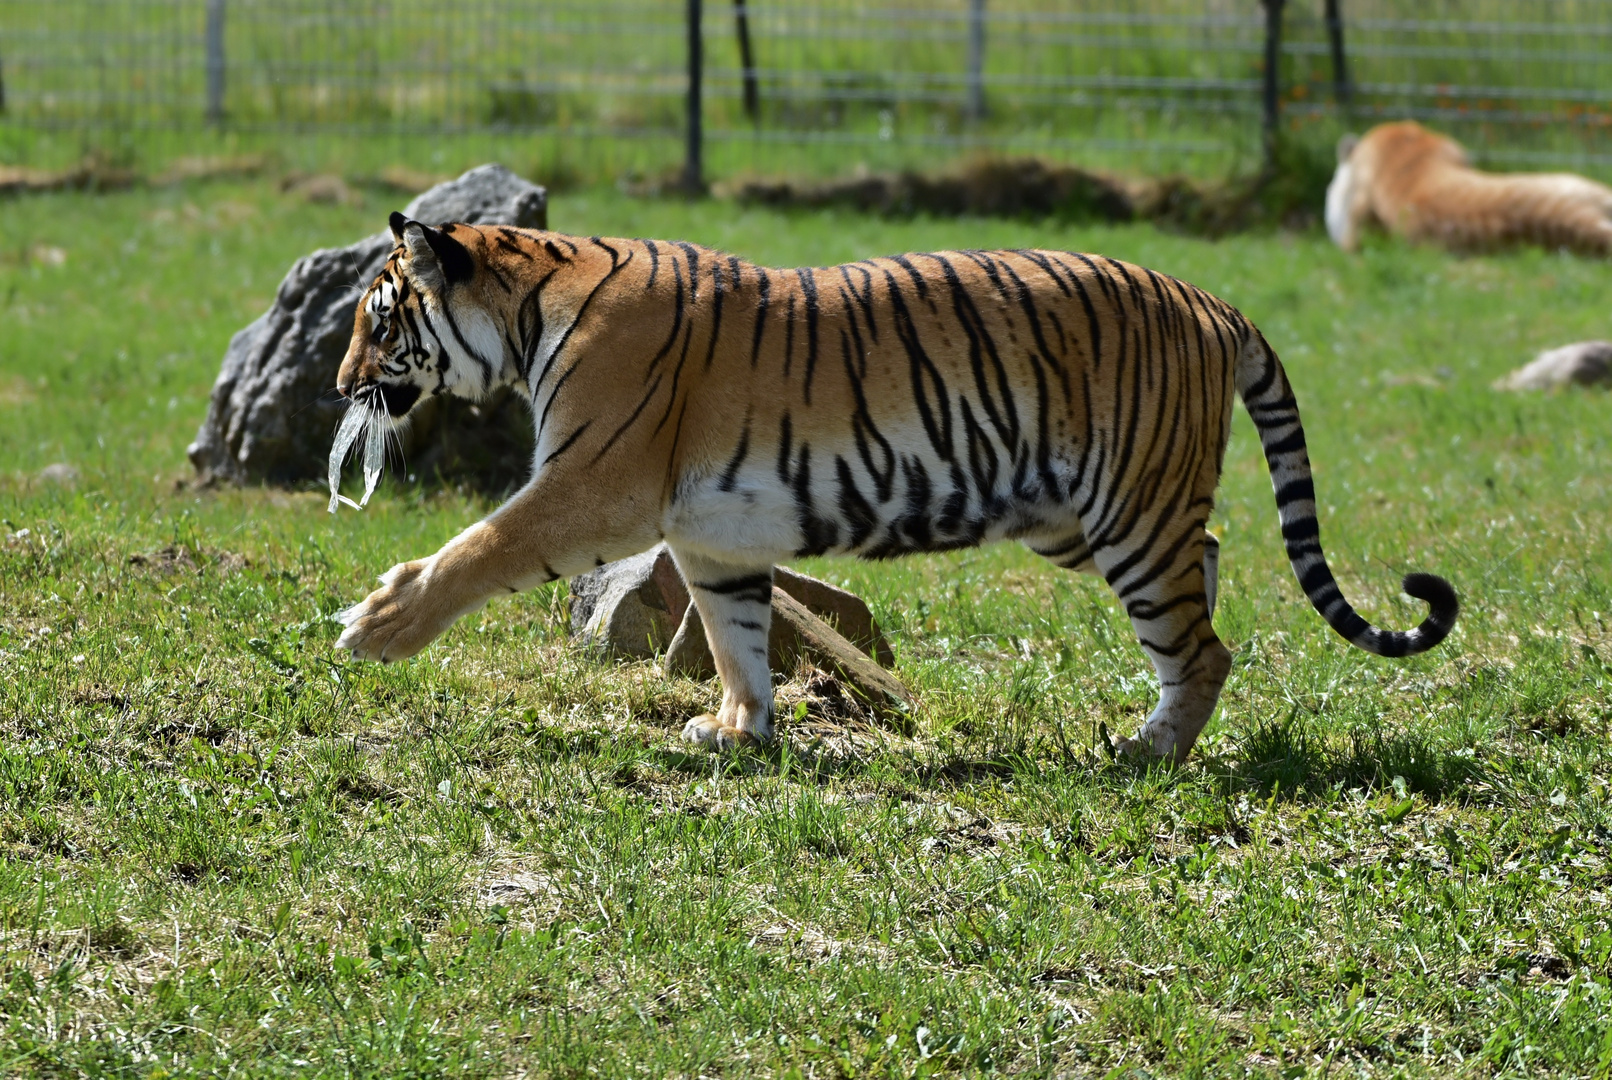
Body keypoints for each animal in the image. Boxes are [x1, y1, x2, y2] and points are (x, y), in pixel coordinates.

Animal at [330, 211, 1463, 767]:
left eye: (378, 321)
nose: (339, 386)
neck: (528, 308)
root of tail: (1214, 301)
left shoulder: (595, 483)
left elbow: (481, 546)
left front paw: (376, 625)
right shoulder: (713, 534)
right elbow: (737, 637)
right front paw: (739, 733)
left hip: (1130, 514)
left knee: (1205, 642)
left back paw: (1149, 751)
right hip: (1081, 518)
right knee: (1210, 575)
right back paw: (1158, 718)